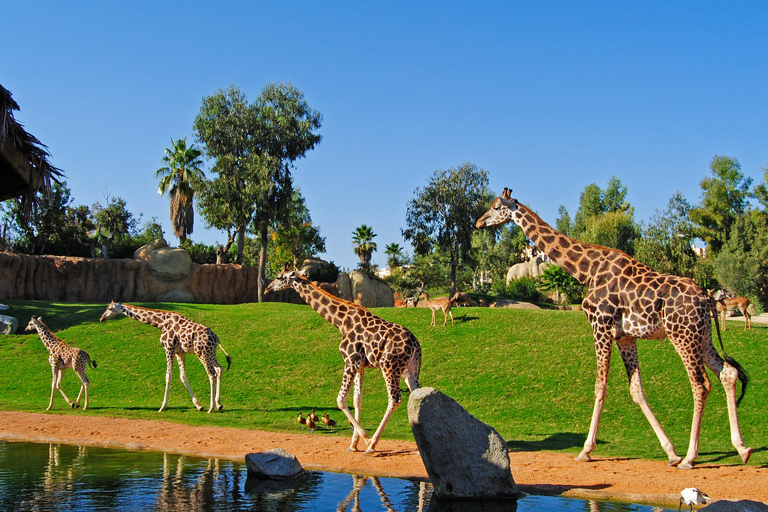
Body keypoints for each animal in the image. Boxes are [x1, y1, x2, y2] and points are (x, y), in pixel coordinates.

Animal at [99, 302, 231, 414]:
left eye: (109, 308)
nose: (101, 318)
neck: (161, 323)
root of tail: (216, 338)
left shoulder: (168, 348)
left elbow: (168, 376)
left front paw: (162, 407)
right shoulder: (179, 352)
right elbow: (183, 376)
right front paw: (198, 405)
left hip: (202, 353)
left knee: (211, 374)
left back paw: (211, 408)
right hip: (211, 353)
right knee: (219, 369)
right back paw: (218, 404)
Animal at [262, 266, 420, 454]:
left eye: (280, 277)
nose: (267, 289)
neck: (341, 322)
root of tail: (416, 344)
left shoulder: (350, 361)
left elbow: (340, 400)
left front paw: (365, 439)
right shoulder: (360, 365)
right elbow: (357, 400)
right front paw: (353, 444)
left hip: (389, 367)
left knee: (395, 399)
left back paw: (372, 445)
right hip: (409, 370)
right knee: (417, 395)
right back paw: (419, 447)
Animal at [474, 187, 752, 468]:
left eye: (496, 207)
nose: (478, 222)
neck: (587, 269)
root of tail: (707, 297)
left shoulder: (600, 324)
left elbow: (600, 385)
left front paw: (586, 450)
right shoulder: (625, 337)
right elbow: (636, 389)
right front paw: (670, 451)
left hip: (682, 334)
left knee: (700, 384)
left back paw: (691, 457)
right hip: (703, 336)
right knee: (728, 373)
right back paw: (741, 448)